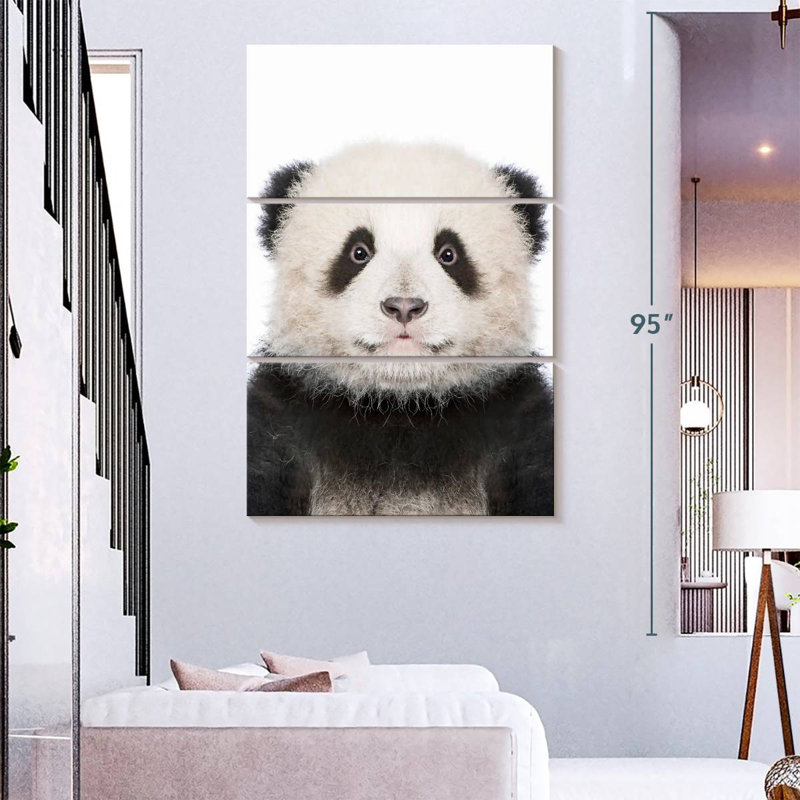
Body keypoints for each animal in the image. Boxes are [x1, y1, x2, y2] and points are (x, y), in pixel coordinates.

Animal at [247, 142, 553, 516]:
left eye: (449, 254)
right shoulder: (280, 422)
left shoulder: (518, 424)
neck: (400, 408)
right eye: (358, 252)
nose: (404, 306)